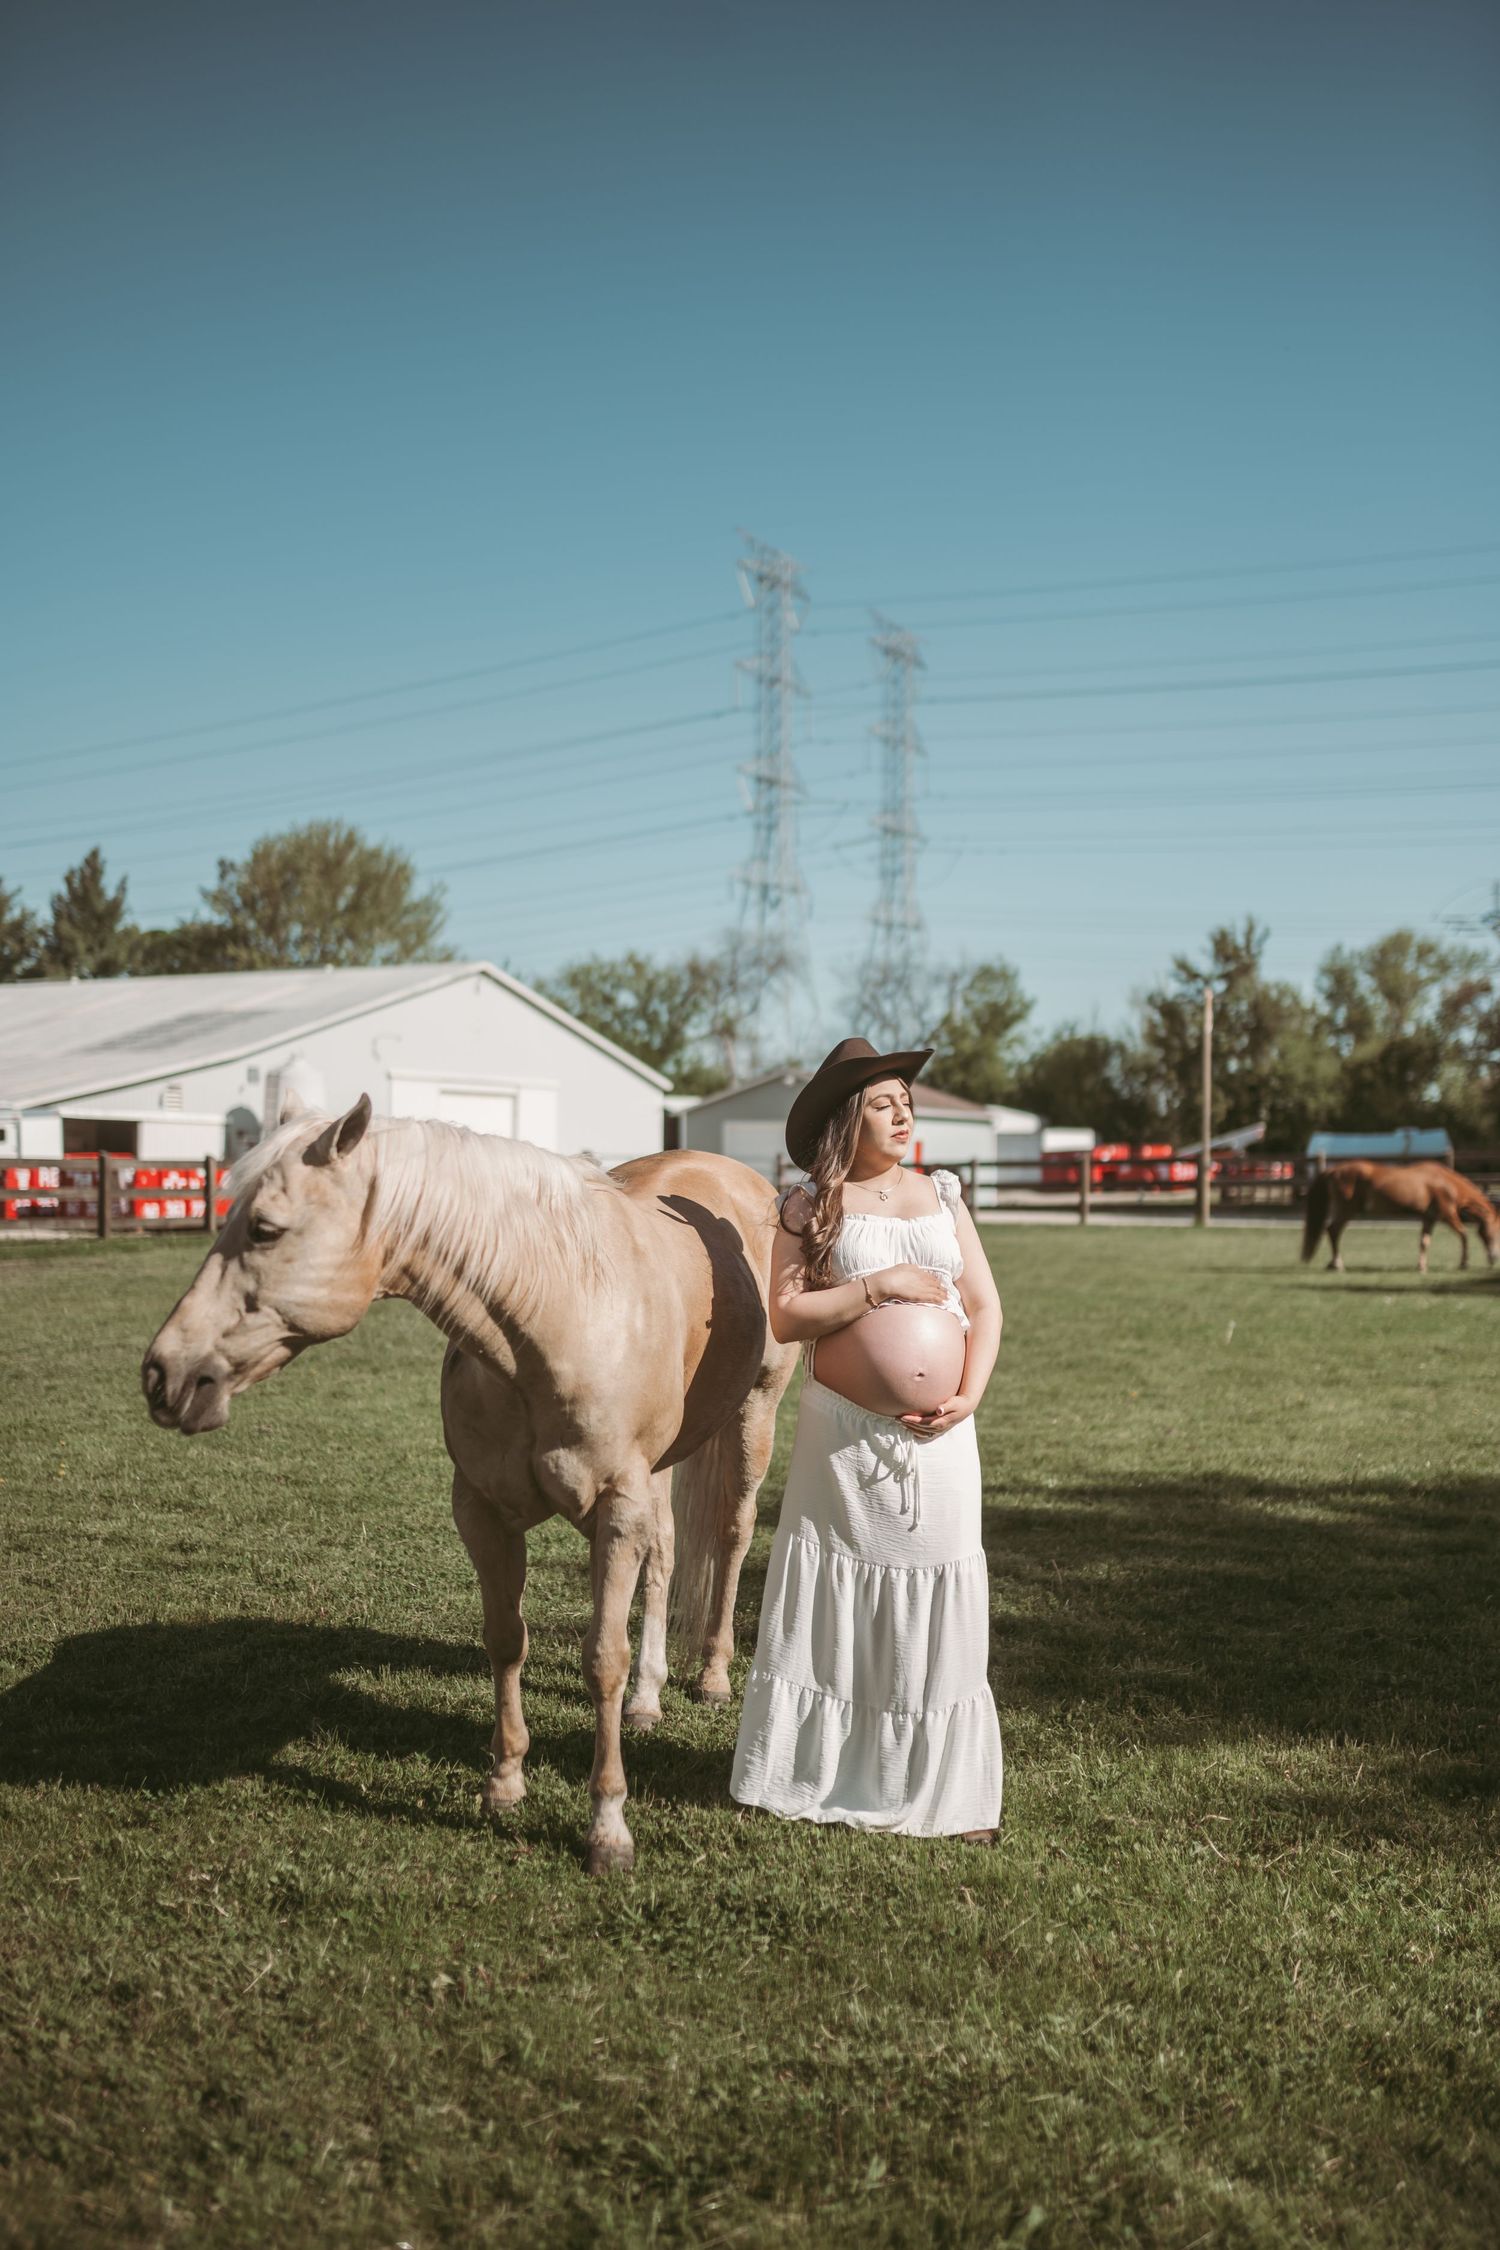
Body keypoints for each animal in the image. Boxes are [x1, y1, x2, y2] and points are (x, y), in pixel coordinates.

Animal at [142, 1093, 798, 1874]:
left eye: (265, 1228)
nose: (164, 1375)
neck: (556, 1315)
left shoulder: (615, 1509)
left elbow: (601, 1658)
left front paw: (607, 1827)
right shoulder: (486, 1513)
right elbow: (505, 1639)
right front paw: (505, 1783)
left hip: (752, 1419)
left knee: (730, 1536)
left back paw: (713, 1678)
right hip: (662, 1468)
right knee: (666, 1558)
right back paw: (648, 1699)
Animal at [1301, 1158, 1500, 1275]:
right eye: (1495, 1232)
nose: (1494, 1258)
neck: (1446, 1183)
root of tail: (1333, 1170)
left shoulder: (1429, 1218)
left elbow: (1424, 1242)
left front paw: (1421, 1266)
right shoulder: (1448, 1216)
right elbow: (1464, 1235)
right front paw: (1464, 1263)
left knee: (1331, 1231)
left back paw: (1333, 1264)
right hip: (1346, 1211)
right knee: (1333, 1231)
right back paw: (1337, 1264)